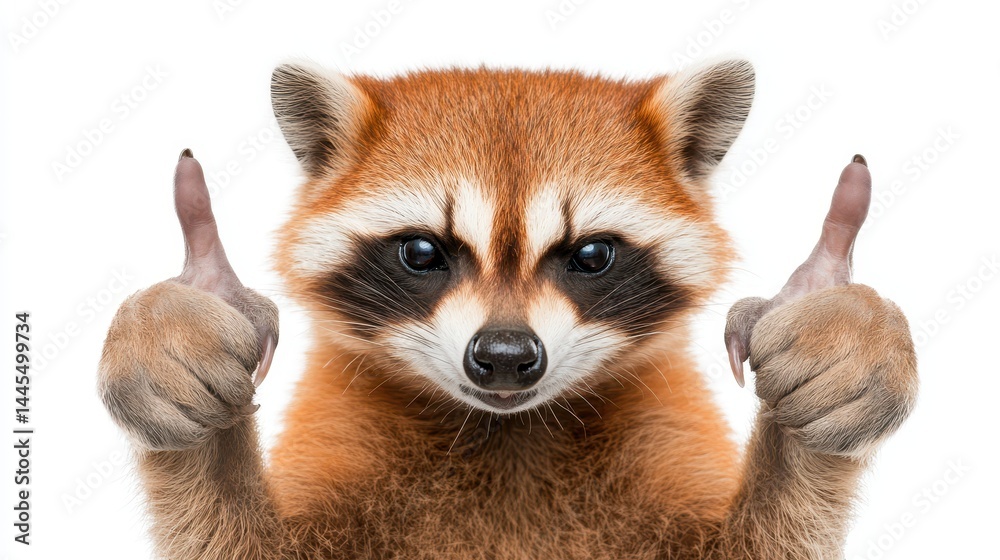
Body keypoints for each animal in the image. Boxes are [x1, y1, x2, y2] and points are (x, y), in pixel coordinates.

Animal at [97, 60, 917, 559]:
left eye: (591, 256)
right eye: (422, 253)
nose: (503, 357)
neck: (508, 432)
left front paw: (836, 324)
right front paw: (181, 323)